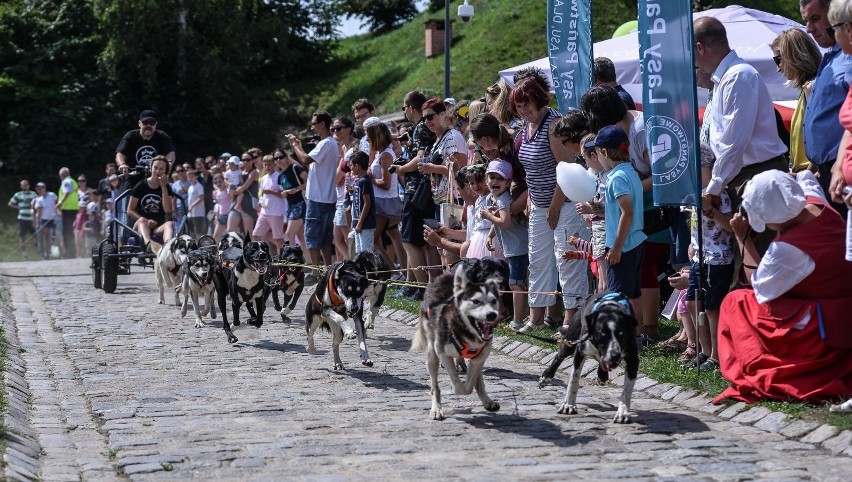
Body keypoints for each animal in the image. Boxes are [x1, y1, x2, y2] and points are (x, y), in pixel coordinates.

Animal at [412, 270, 502, 420]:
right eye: (476, 301)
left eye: (494, 301)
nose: (492, 315)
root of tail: (445, 275)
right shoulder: (441, 352)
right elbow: (459, 386)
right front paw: (456, 388)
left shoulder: (480, 356)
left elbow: (472, 383)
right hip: (431, 355)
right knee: (435, 386)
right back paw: (436, 409)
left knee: (477, 379)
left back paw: (487, 401)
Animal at [540, 290, 640, 422]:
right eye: (602, 334)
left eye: (621, 333)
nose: (614, 356)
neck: (611, 308)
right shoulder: (580, 351)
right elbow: (573, 380)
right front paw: (569, 405)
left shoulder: (633, 359)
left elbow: (627, 391)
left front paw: (623, 413)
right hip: (571, 341)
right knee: (558, 357)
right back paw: (546, 377)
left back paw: (602, 375)